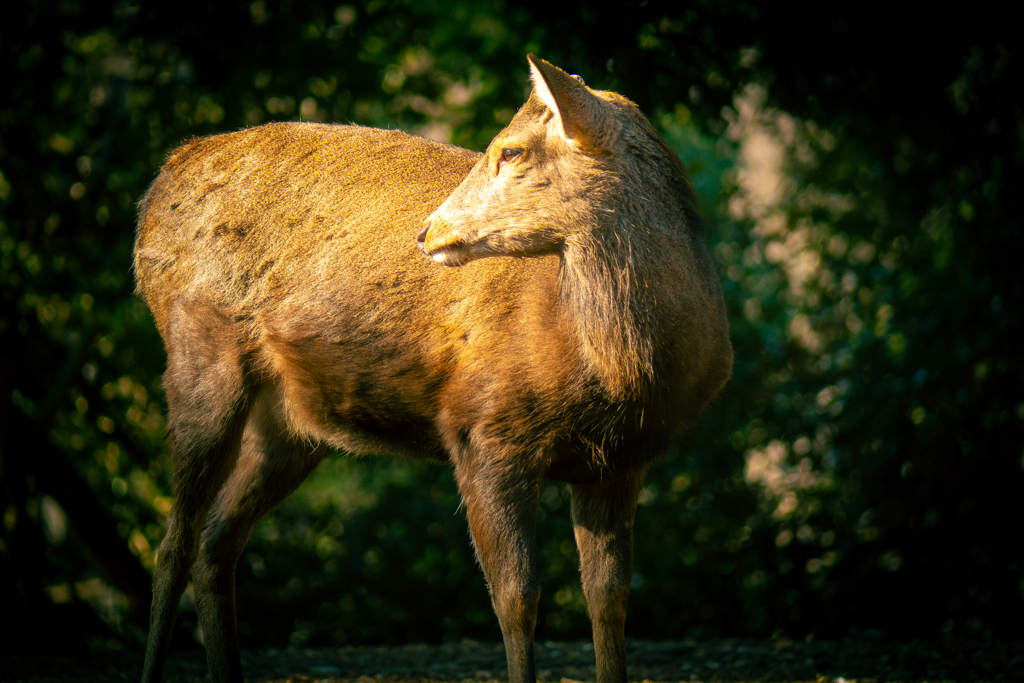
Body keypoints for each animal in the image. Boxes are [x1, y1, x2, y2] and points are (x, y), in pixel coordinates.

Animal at [132, 54, 733, 683]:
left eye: (511, 150)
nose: (426, 230)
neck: (620, 373)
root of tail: (161, 181)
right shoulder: (482, 429)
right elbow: (516, 599)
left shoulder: (622, 461)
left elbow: (609, 601)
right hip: (198, 349)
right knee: (172, 544)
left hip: (291, 422)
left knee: (215, 543)